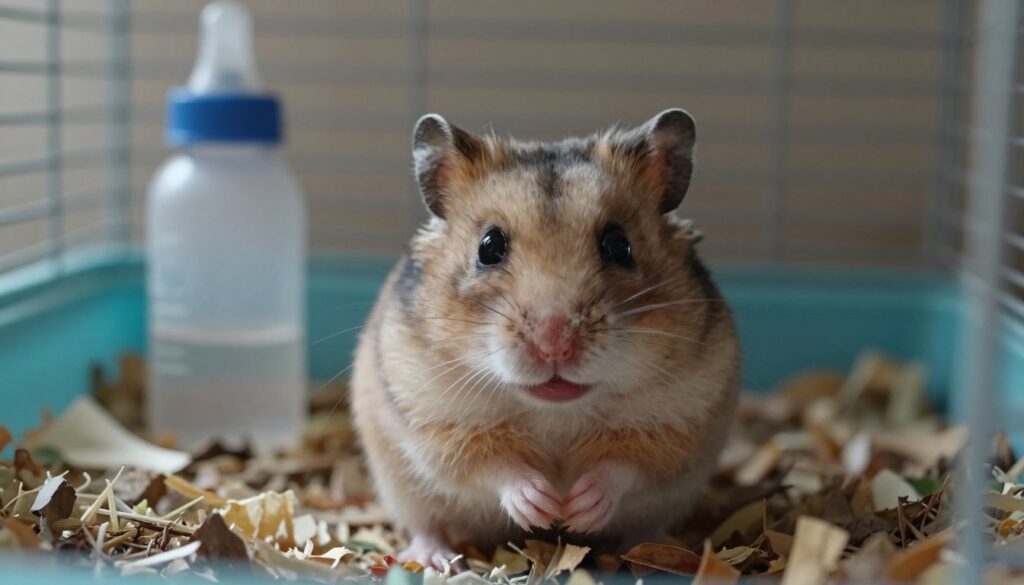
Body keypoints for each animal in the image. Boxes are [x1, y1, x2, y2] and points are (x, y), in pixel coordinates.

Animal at [350, 109, 740, 567]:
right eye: (489, 246)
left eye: (619, 245)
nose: (554, 344)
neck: (554, 413)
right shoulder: (439, 422)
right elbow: (494, 465)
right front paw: (543, 505)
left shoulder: (676, 424)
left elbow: (622, 466)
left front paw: (576, 509)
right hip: (402, 485)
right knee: (427, 524)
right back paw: (435, 559)